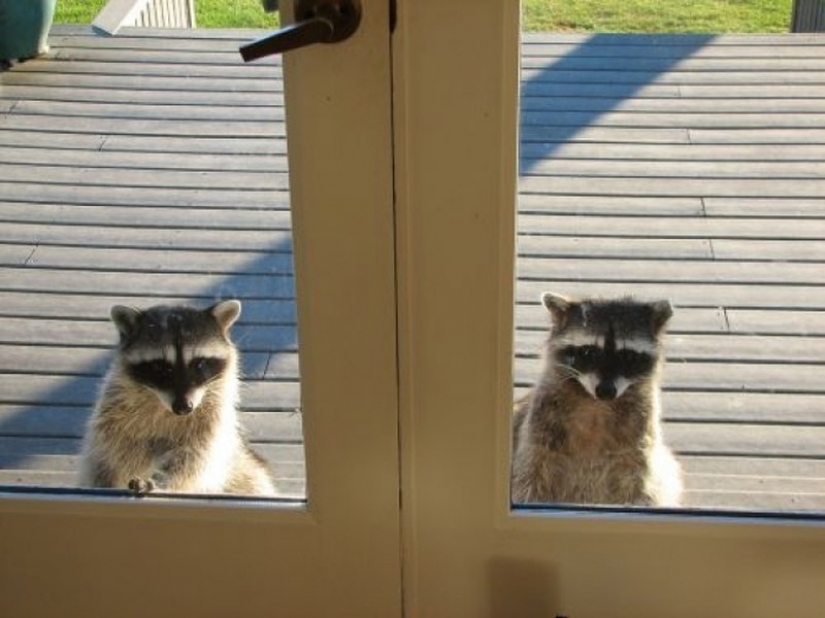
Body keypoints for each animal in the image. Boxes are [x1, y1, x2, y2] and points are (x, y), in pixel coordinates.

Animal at [78, 300, 277, 496]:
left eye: (200, 363)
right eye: (159, 366)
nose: (183, 407)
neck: (162, 405)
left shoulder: (211, 421)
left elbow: (190, 461)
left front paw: (160, 482)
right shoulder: (115, 413)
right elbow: (107, 455)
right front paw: (105, 481)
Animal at [511, 292, 683, 507]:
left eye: (627, 355)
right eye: (588, 352)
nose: (606, 391)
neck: (596, 405)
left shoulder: (639, 446)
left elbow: (640, 487)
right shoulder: (538, 438)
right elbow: (529, 480)